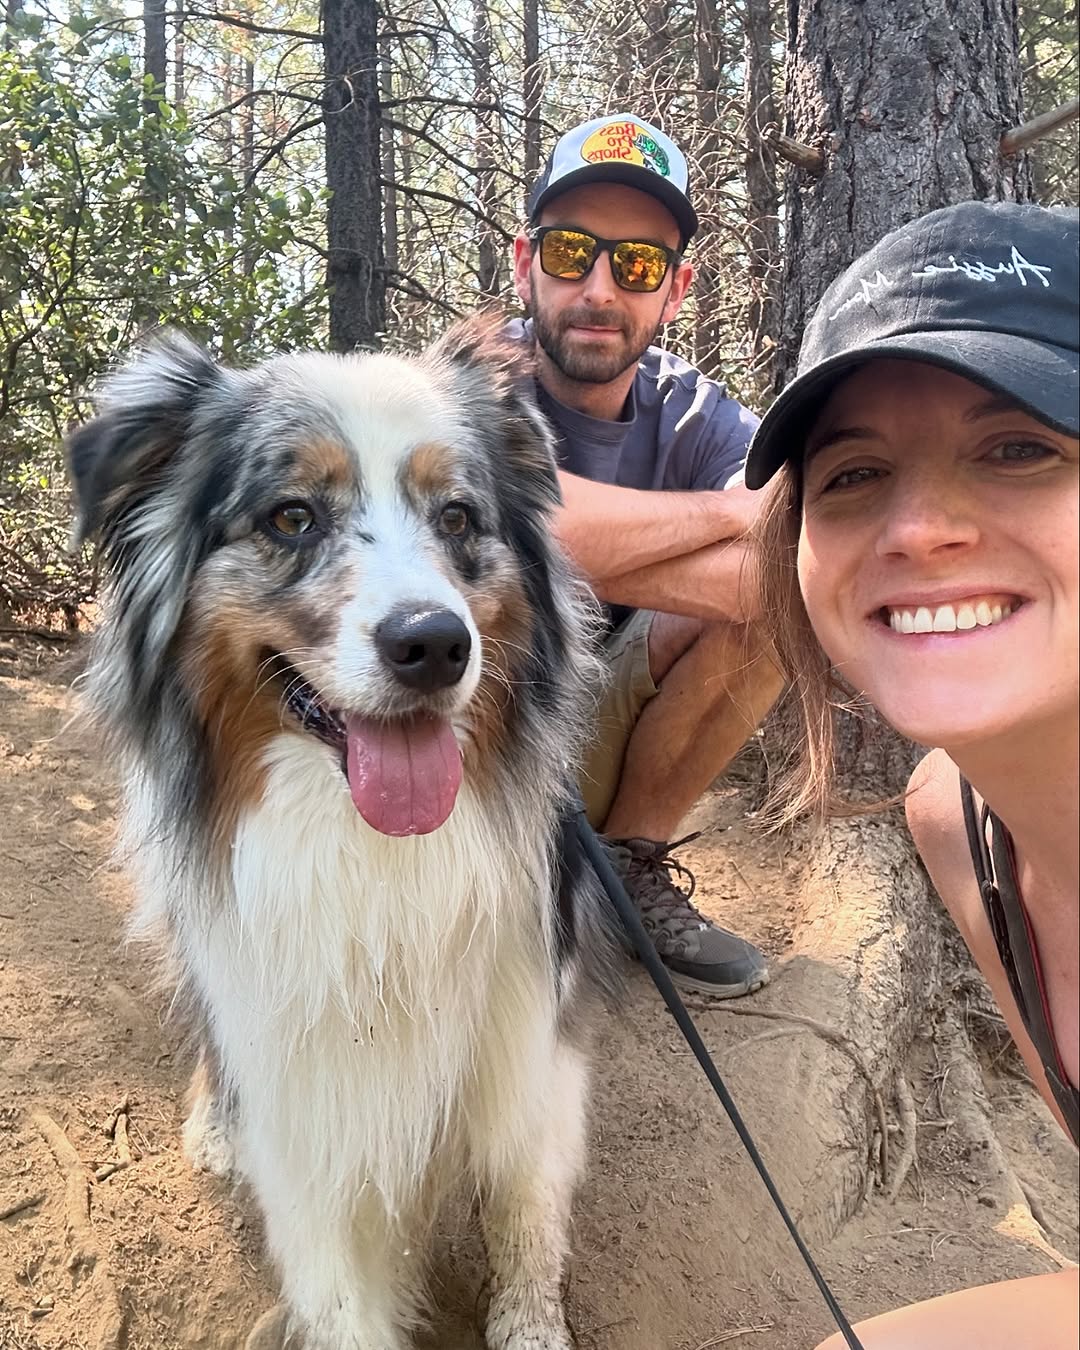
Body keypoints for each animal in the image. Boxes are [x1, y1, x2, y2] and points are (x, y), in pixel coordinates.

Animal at [69, 318, 615, 1350]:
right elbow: (337, 1291)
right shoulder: (308, 1111)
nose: (433, 643)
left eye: (458, 519)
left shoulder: (528, 1045)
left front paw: (529, 1323)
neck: (370, 855)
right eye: (291, 518)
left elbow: (525, 1211)